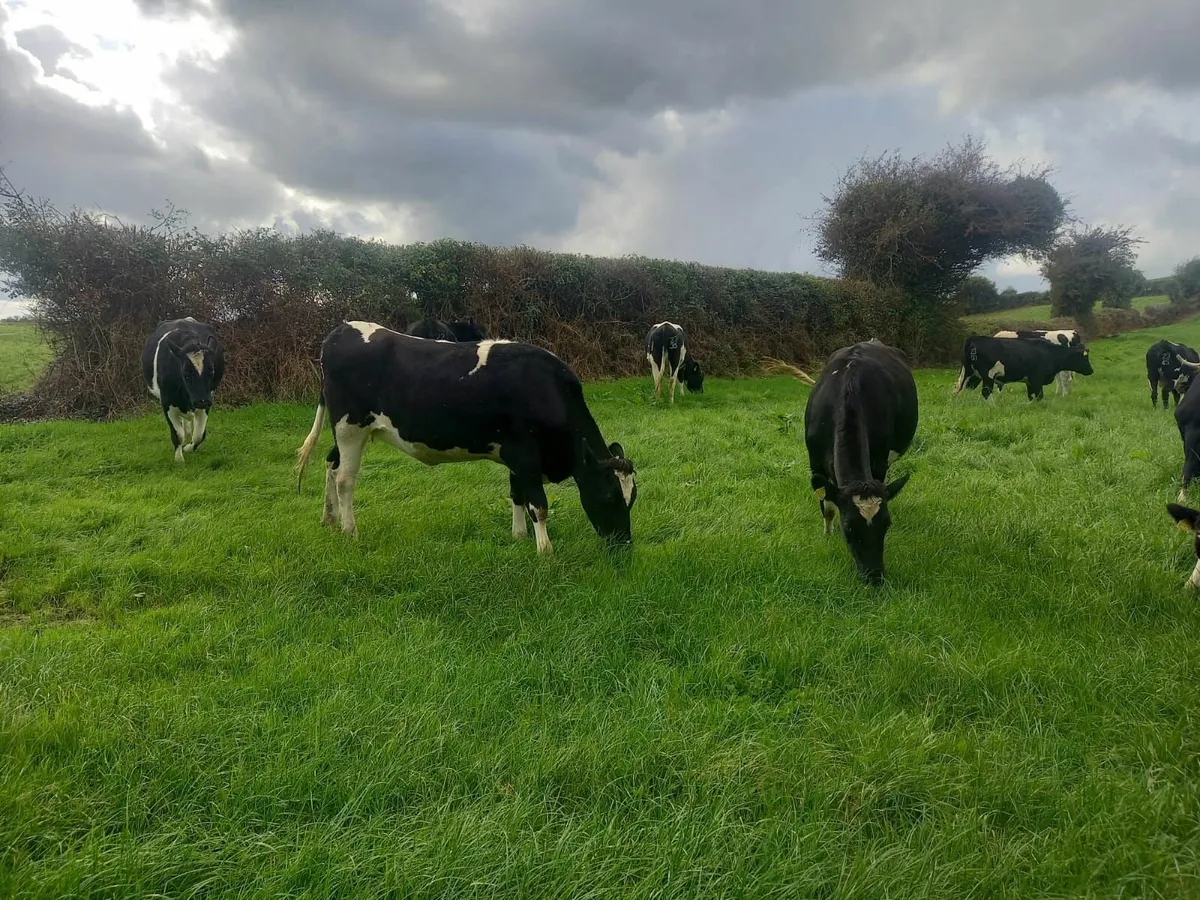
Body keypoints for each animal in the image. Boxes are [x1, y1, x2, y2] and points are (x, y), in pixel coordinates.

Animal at [141, 317, 225, 462]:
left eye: (211, 372)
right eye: (186, 374)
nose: (201, 401)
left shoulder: (207, 399)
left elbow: (199, 435)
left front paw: (188, 448)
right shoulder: (167, 403)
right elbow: (177, 434)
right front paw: (179, 460)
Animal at [294, 321, 637, 555]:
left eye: (632, 499)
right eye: (609, 495)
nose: (624, 544)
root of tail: (341, 330)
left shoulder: (514, 456)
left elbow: (516, 495)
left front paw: (519, 537)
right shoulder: (526, 454)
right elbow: (538, 505)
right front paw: (546, 551)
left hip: (346, 430)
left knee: (331, 464)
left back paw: (329, 519)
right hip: (350, 428)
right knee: (345, 479)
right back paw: (349, 531)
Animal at [784, 339, 917, 585]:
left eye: (887, 524)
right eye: (848, 527)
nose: (874, 576)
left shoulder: (879, 461)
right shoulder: (814, 461)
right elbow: (827, 507)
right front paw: (828, 537)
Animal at [952, 335, 1093, 401]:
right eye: (1085, 358)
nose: (1091, 371)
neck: (1048, 353)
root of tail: (974, 339)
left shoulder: (1029, 381)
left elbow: (1032, 395)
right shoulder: (1036, 379)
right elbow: (1039, 395)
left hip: (969, 373)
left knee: (960, 389)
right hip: (988, 376)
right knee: (986, 392)